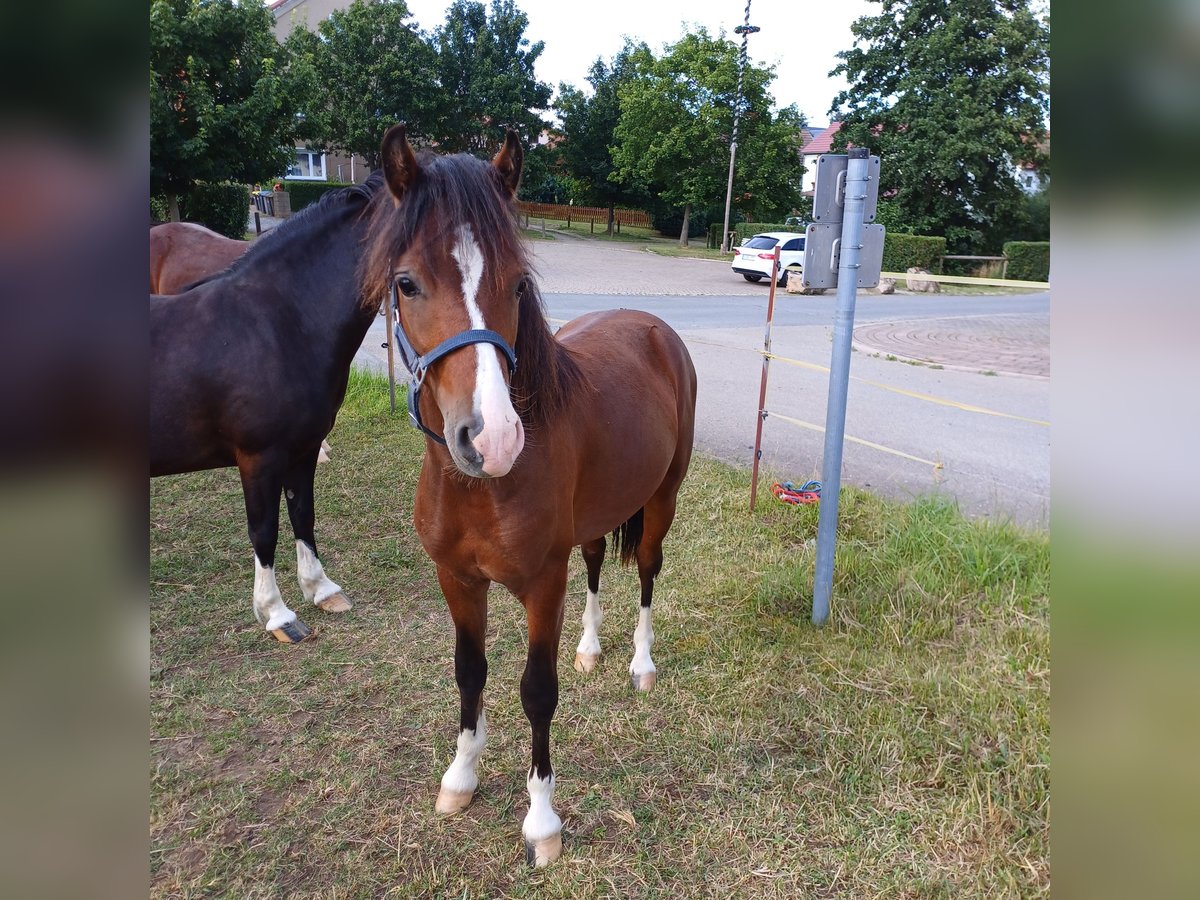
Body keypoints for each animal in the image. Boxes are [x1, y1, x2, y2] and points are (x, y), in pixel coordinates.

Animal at [149, 176, 381, 643]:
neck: (275, 324)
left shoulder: (303, 450)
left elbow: (302, 514)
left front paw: (321, 588)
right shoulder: (259, 459)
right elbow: (264, 530)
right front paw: (277, 613)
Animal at [360, 127, 696, 868]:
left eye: (518, 282)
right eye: (406, 283)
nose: (492, 439)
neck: (482, 488)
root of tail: (655, 326)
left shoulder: (543, 584)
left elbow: (536, 693)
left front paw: (542, 822)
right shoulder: (457, 580)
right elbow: (469, 672)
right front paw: (461, 777)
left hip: (663, 500)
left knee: (648, 571)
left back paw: (640, 664)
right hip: (596, 519)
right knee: (596, 564)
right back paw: (592, 649)